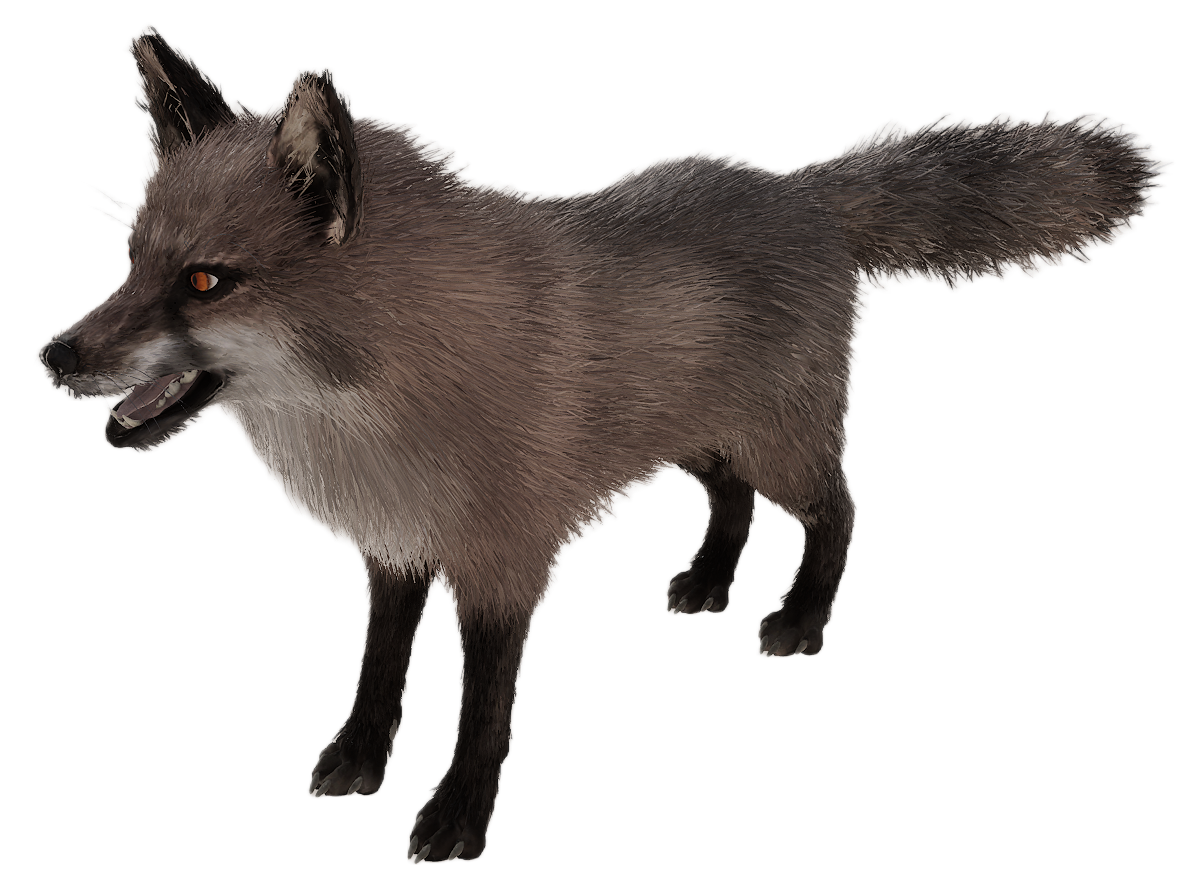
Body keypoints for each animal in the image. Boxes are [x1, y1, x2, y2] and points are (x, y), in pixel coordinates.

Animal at [34, 22, 1169, 863]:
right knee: (729, 501)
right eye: (132, 259)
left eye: (206, 282)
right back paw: (706, 584)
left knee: (841, 510)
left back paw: (800, 619)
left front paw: (456, 816)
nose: (54, 356)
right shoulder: (396, 549)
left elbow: (483, 712)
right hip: (695, 440)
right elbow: (379, 671)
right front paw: (358, 760)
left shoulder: (503, 566)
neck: (385, 391)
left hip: (777, 443)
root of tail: (797, 187)